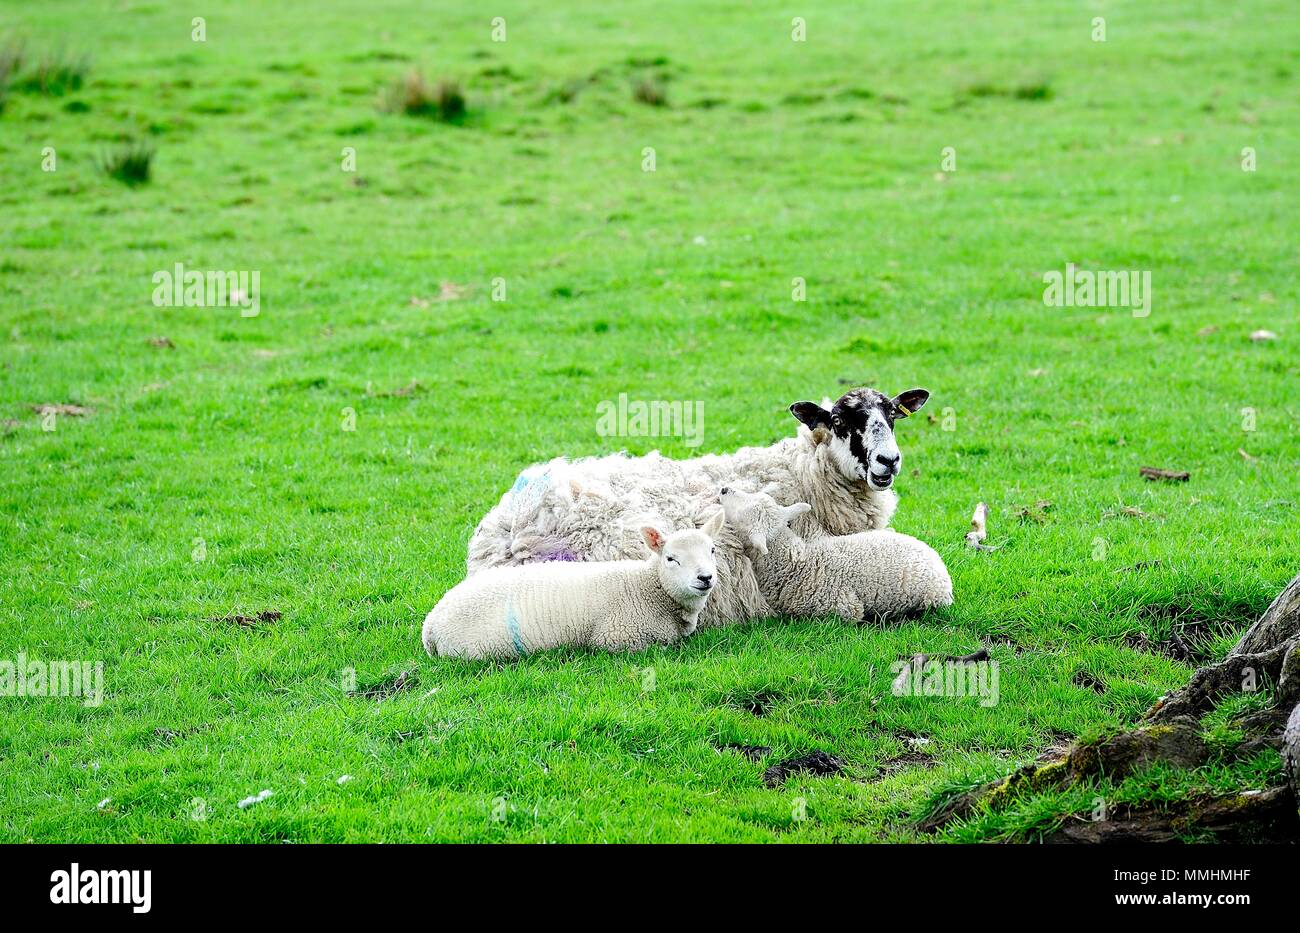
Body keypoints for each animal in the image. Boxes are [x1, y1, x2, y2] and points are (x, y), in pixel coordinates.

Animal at [425, 511, 725, 660]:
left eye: (712, 550)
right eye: (671, 558)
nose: (705, 578)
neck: (647, 586)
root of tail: (430, 625)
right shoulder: (616, 639)